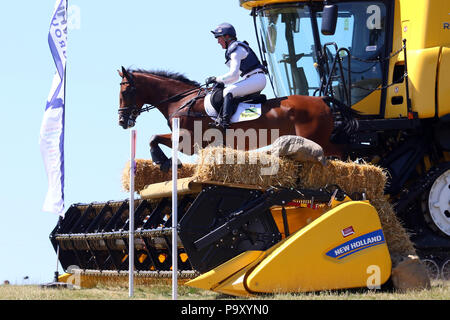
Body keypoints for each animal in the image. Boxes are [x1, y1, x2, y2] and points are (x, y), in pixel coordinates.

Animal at [117, 64, 358, 170]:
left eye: (126, 92)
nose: (122, 121)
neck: (181, 101)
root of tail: (322, 100)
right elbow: (154, 138)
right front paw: (165, 162)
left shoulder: (188, 142)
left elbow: (153, 138)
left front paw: (163, 161)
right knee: (343, 151)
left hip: (317, 140)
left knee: (342, 151)